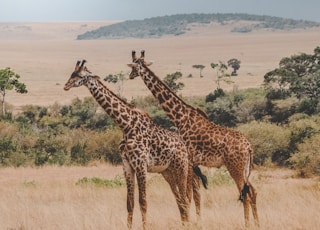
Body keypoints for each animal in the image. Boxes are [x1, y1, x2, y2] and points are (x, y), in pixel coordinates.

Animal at [63, 59, 201, 230]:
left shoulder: (141, 164)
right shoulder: (127, 165)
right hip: (168, 171)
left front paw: (145, 227)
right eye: (72, 73)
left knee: (186, 197)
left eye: (81, 76)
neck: (126, 125)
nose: (66, 86)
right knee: (181, 199)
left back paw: (187, 224)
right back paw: (184, 223)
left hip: (182, 168)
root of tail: (186, 147)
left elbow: (143, 201)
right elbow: (130, 203)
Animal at [127, 50, 260, 228]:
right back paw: (257, 224)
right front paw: (196, 221)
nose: (130, 76)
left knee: (243, 194)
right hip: (244, 169)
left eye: (134, 66)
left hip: (235, 167)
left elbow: (189, 195)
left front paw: (189, 222)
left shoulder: (188, 161)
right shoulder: (193, 163)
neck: (180, 117)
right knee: (252, 191)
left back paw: (246, 225)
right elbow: (194, 194)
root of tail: (249, 147)